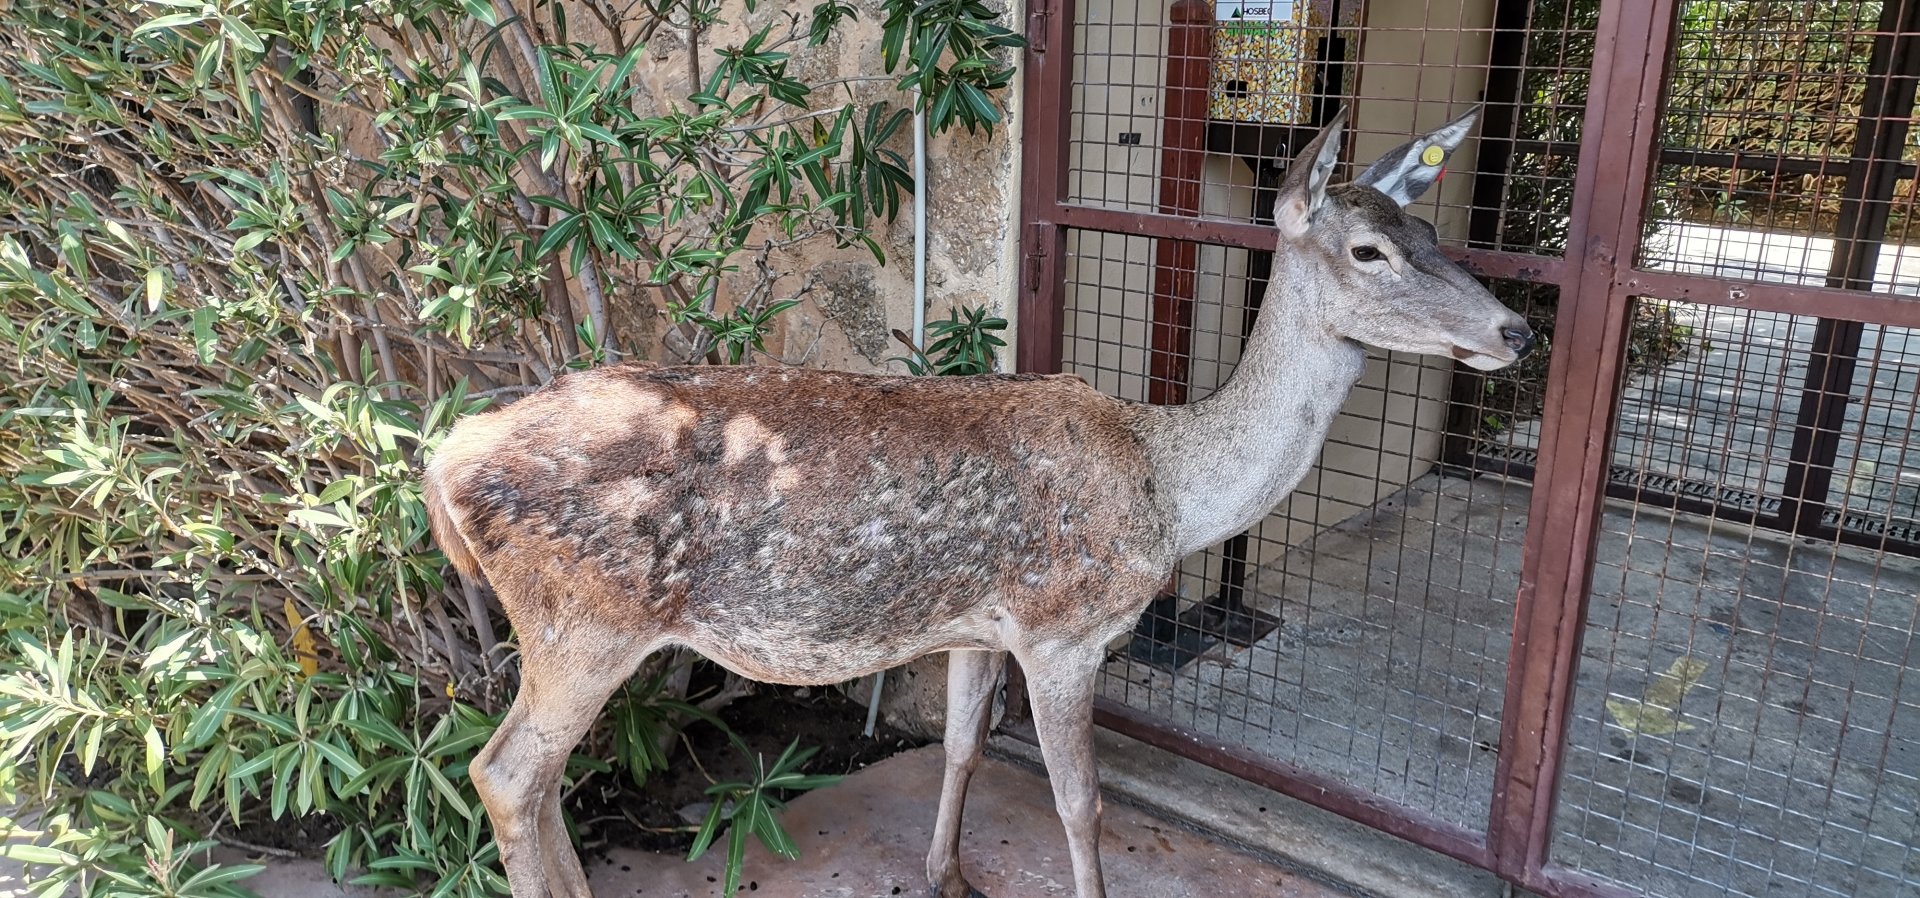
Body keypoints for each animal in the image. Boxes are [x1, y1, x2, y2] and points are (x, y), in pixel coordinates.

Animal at [422, 106, 1533, 898]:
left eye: (1429, 226)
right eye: (1369, 253)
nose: (1516, 329)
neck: (1171, 485)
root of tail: (444, 459)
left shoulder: (974, 625)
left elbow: (960, 745)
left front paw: (947, 874)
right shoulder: (1063, 627)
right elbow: (1081, 805)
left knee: (536, 780)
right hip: (582, 618)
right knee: (505, 775)